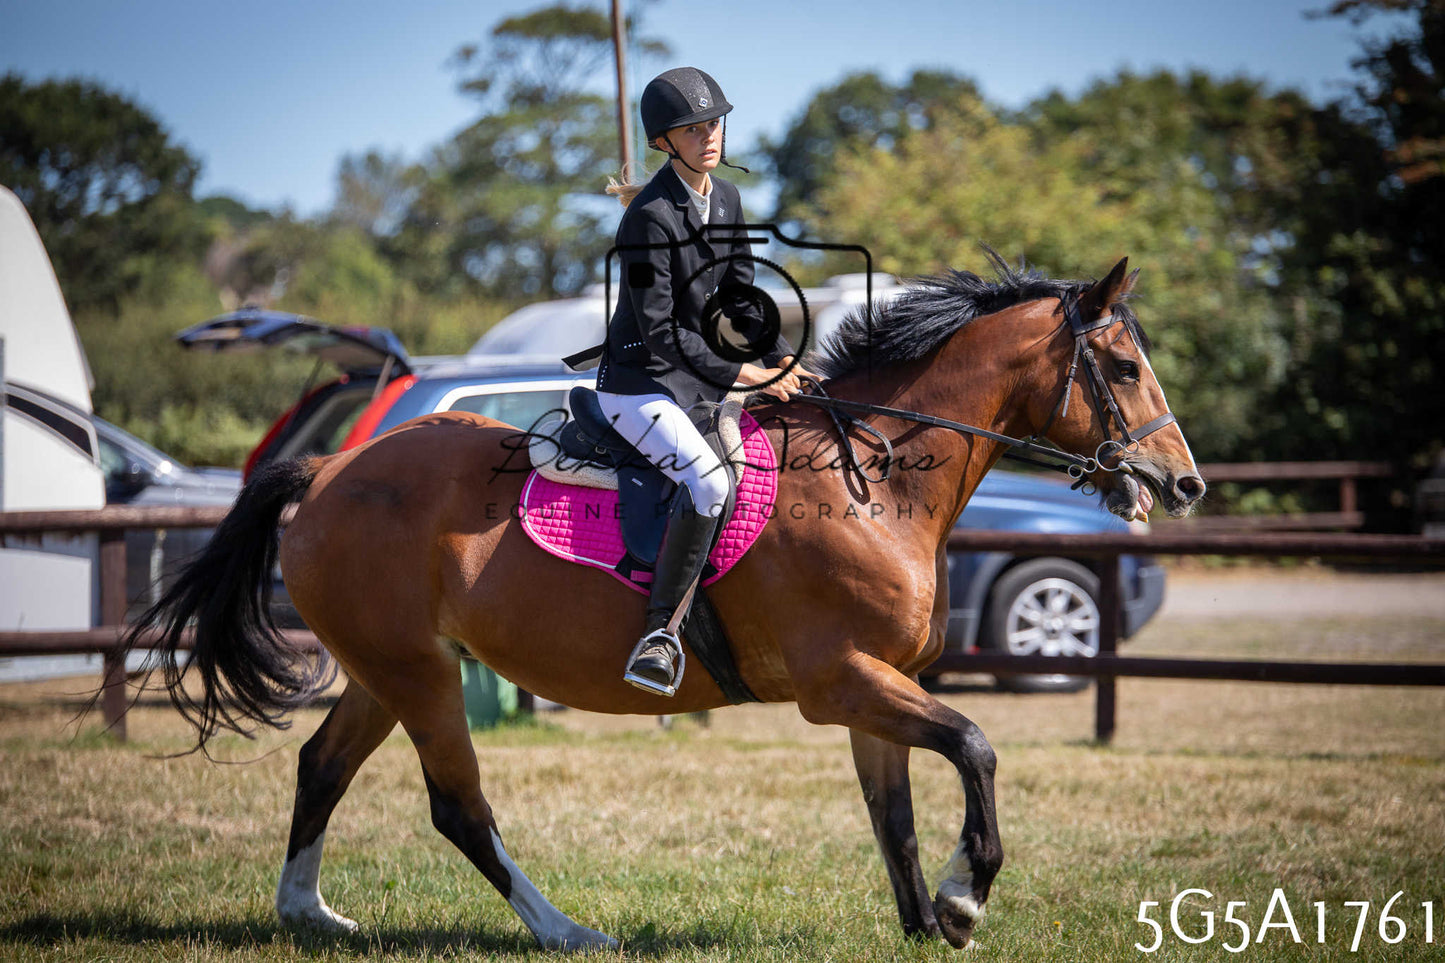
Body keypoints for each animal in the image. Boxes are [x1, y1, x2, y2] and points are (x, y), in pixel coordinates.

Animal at [124, 255, 1205, 952]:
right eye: (1120, 367)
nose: (1183, 483)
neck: (872, 479)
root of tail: (331, 467)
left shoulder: (877, 687)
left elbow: (891, 812)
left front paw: (924, 921)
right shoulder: (838, 681)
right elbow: (975, 747)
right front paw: (964, 897)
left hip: (388, 667)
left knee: (321, 766)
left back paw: (307, 913)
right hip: (420, 675)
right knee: (458, 806)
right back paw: (564, 929)